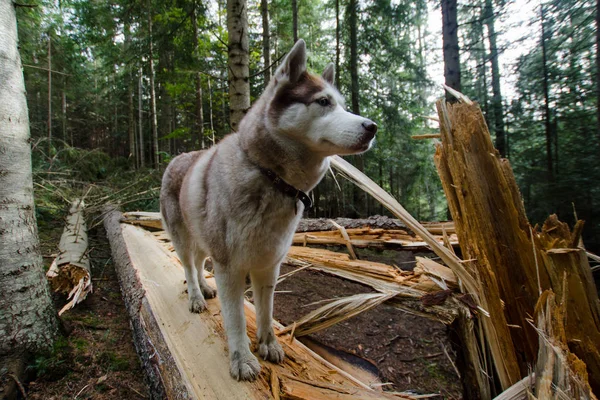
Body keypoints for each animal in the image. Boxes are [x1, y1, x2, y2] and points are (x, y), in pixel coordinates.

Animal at [159, 39, 376, 382]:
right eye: (323, 101)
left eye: (342, 105)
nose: (372, 127)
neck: (272, 179)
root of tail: (177, 157)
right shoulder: (230, 268)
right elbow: (235, 318)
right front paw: (242, 359)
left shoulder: (269, 265)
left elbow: (266, 311)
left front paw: (268, 345)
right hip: (183, 239)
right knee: (189, 267)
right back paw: (195, 295)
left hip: (205, 241)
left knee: (199, 262)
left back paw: (205, 288)